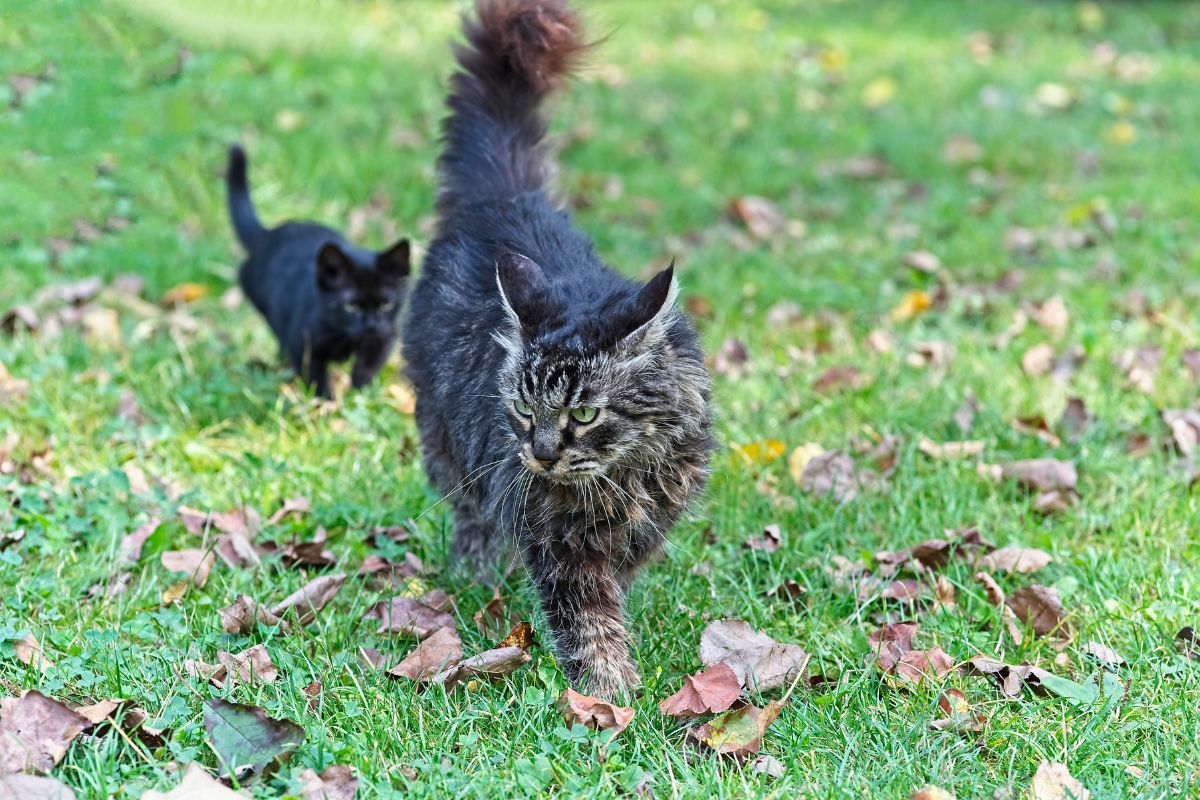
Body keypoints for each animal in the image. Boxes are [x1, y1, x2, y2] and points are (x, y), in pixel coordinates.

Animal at [225, 144, 412, 400]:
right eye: (350, 305)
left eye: (386, 303)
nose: (371, 324)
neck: (343, 335)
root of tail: (269, 235)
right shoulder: (302, 343)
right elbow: (313, 375)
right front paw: (325, 401)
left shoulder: (387, 334)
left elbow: (370, 362)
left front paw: (359, 389)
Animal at [403, 0, 710, 700]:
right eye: (524, 408)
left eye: (585, 414)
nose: (542, 454)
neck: (627, 472)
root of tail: (505, 198)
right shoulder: (558, 539)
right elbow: (588, 616)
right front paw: (610, 693)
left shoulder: (656, 516)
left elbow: (620, 580)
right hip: (449, 442)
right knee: (471, 515)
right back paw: (479, 575)